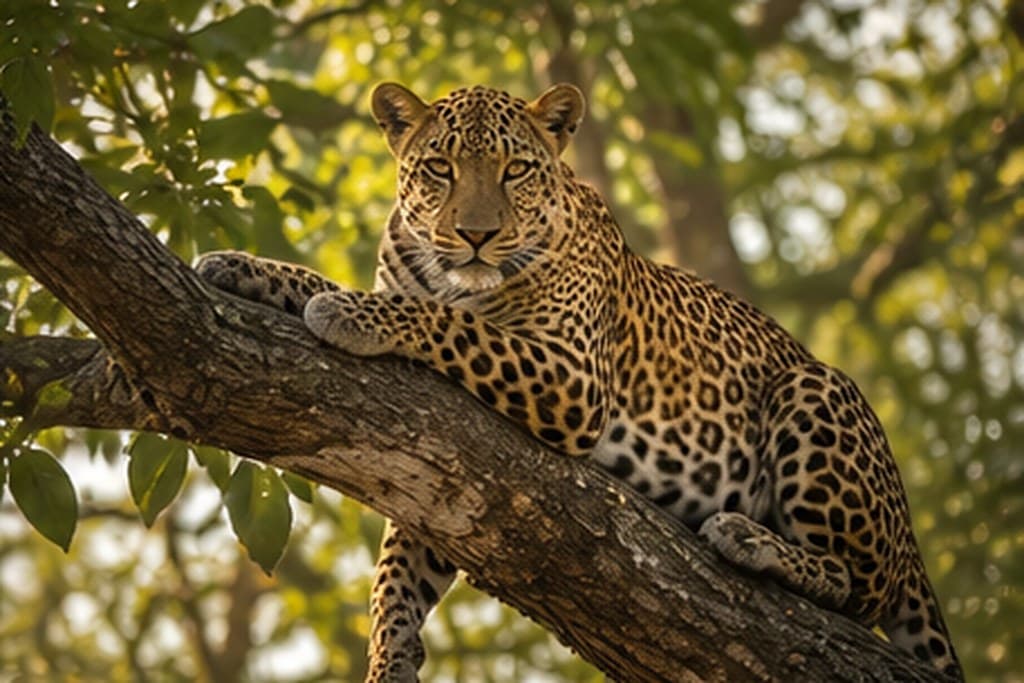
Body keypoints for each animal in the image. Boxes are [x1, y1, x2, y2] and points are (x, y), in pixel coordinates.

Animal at [196, 82, 962, 681]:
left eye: (515, 170)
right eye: (440, 168)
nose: (476, 235)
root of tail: (907, 531)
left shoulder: (569, 375)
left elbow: (447, 319)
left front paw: (352, 313)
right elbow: (397, 570)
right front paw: (240, 266)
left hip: (814, 391)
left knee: (860, 586)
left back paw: (749, 539)